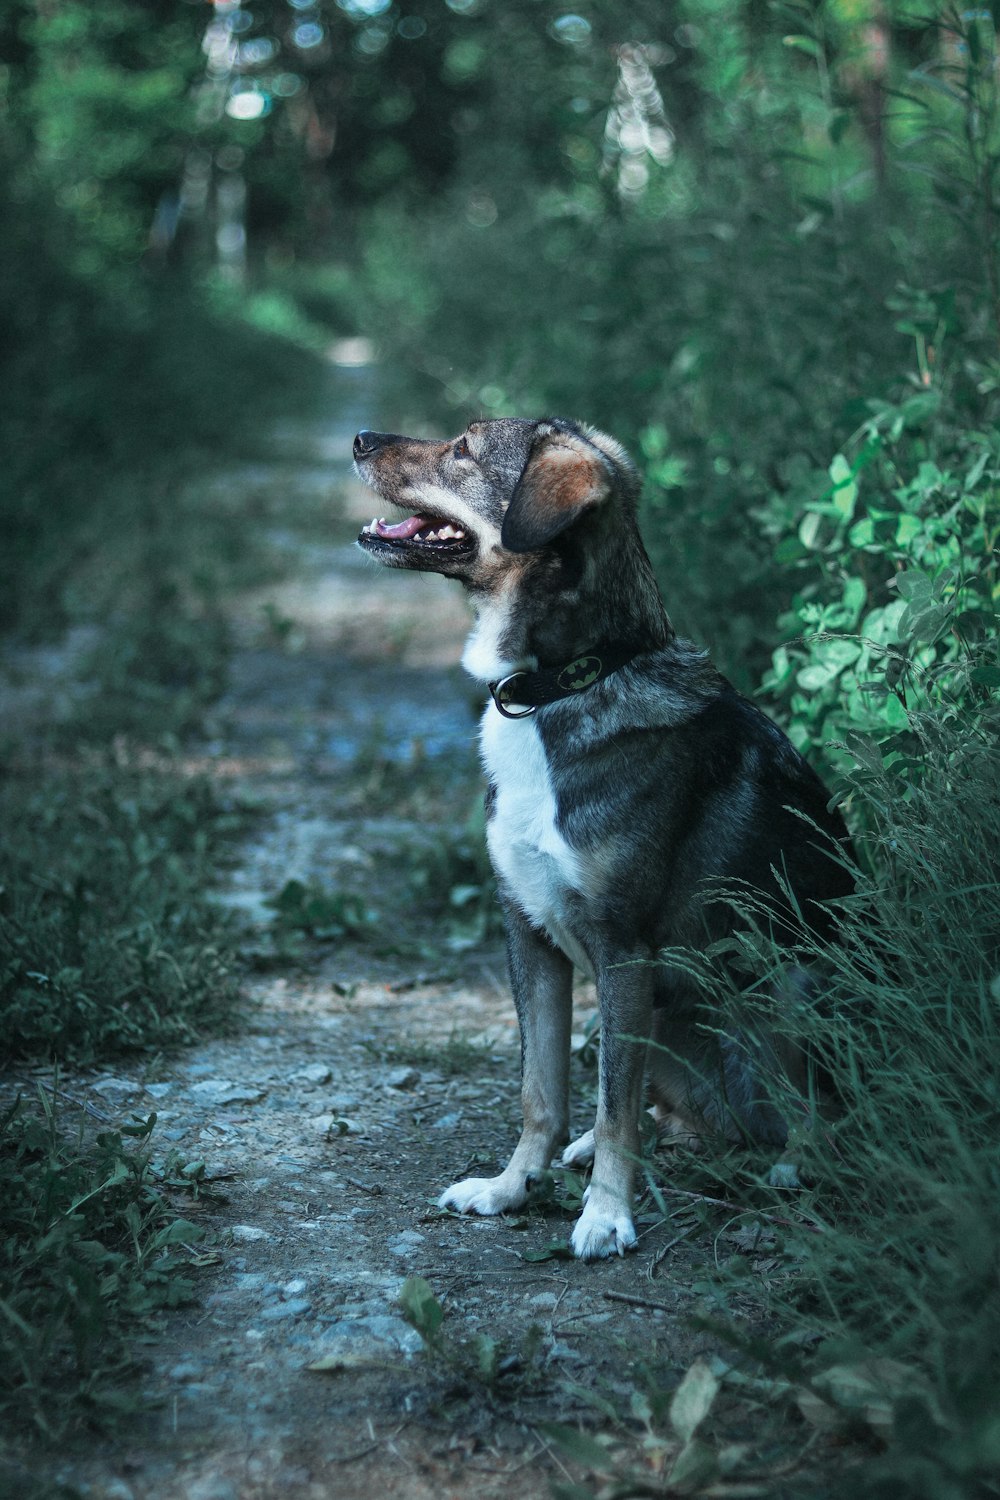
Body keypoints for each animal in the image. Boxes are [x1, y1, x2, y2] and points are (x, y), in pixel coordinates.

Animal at [353, 417, 851, 1260]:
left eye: (463, 447)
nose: (358, 439)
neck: (558, 685)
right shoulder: (529, 935)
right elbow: (542, 1092)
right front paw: (512, 1186)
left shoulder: (622, 947)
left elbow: (612, 1106)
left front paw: (605, 1215)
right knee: (680, 1119)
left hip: (789, 980)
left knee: (813, 1113)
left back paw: (798, 1162)